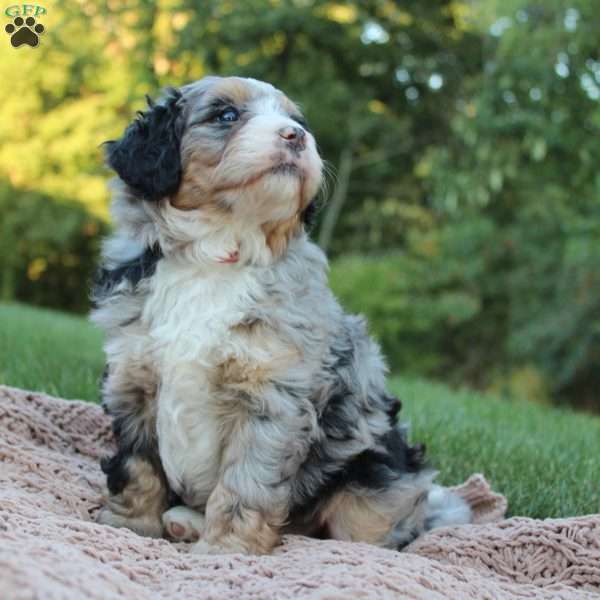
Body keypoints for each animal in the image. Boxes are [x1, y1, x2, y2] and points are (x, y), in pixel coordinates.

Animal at [91, 76, 472, 556]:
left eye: (297, 120)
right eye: (226, 115)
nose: (297, 136)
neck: (216, 253)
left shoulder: (272, 399)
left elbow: (245, 484)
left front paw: (227, 550)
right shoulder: (132, 379)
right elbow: (136, 466)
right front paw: (130, 526)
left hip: (371, 474)